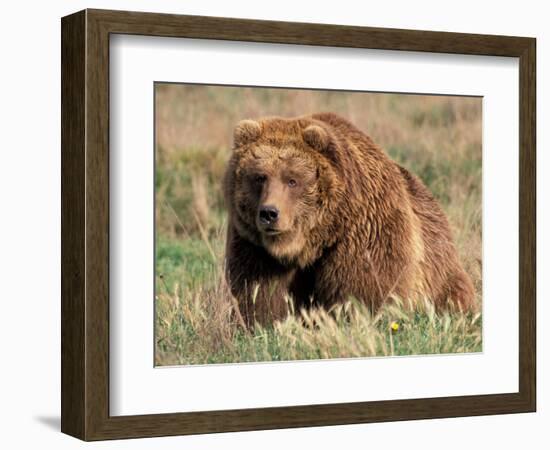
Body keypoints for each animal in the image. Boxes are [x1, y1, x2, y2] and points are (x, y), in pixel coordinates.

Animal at [224, 111, 474, 326]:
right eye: (260, 177)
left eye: (292, 180)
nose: (269, 213)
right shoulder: (254, 247)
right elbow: (260, 295)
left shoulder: (364, 232)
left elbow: (365, 291)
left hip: (439, 269)